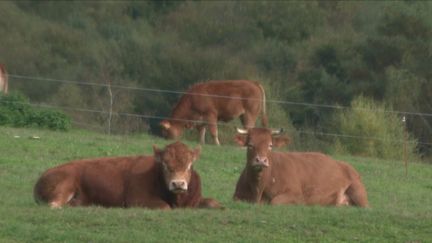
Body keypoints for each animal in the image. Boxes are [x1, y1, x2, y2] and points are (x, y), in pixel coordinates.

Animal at [33, 141, 221, 210]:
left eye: (189, 165)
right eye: (165, 165)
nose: (178, 184)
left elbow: (213, 202)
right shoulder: (137, 200)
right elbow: (165, 207)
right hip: (64, 185)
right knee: (54, 204)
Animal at [233, 127, 368, 207]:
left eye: (270, 145)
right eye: (250, 145)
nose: (261, 160)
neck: (258, 188)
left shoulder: (297, 195)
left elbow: (275, 201)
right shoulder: (236, 196)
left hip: (358, 192)